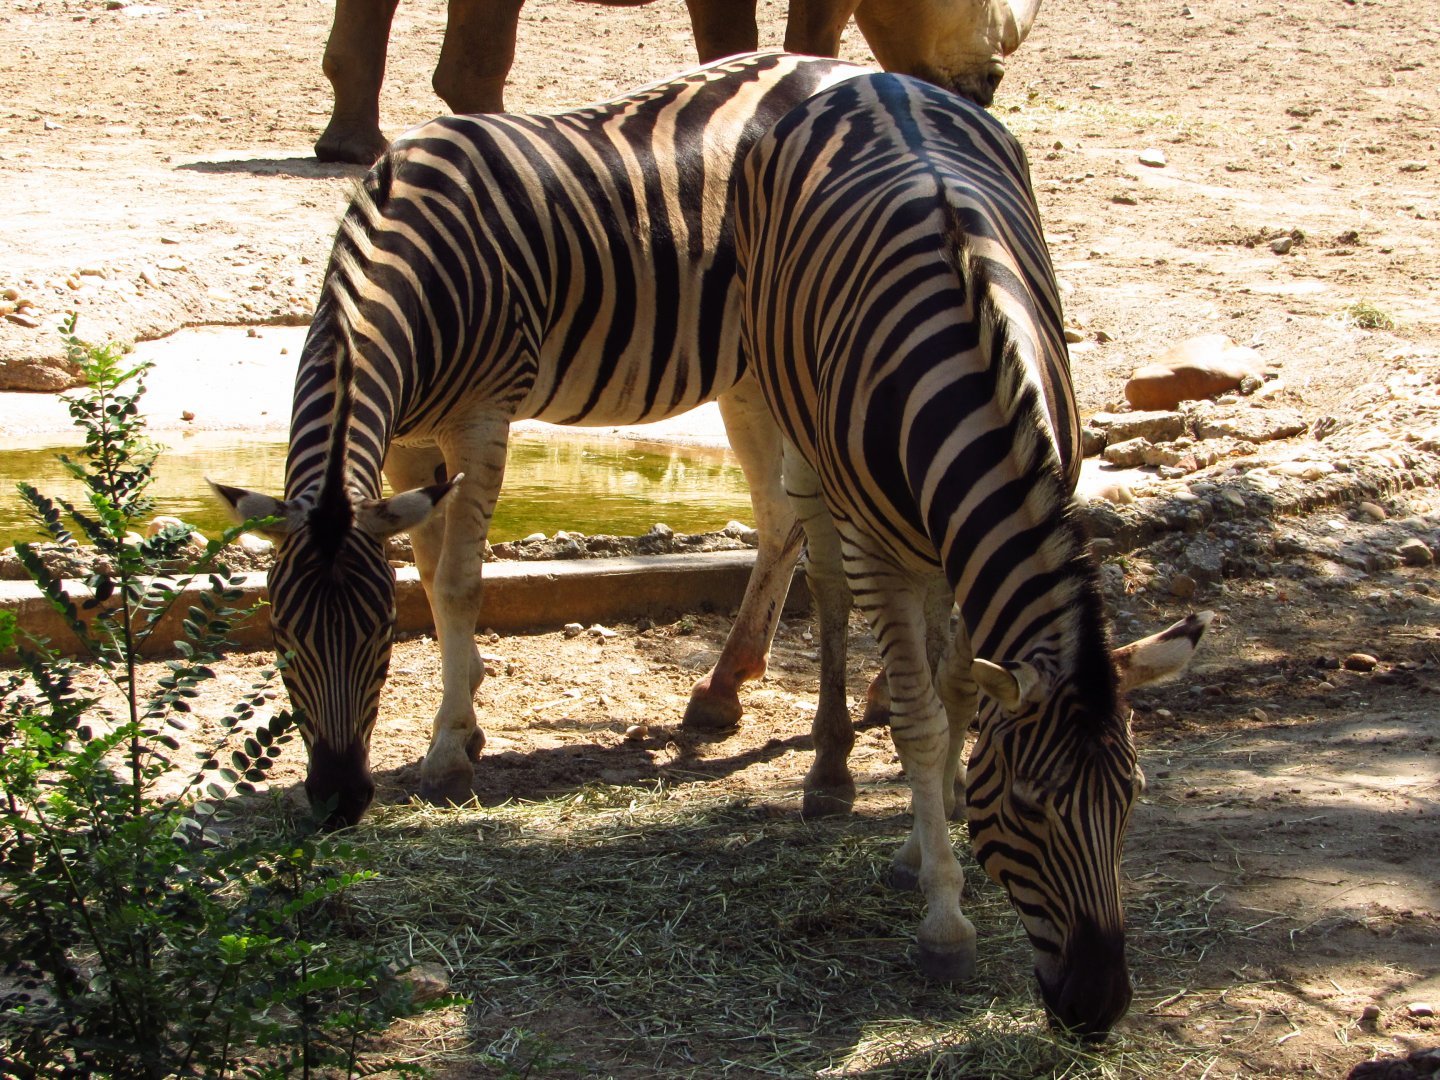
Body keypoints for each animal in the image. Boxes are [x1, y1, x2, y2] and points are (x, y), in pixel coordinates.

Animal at [209, 52, 890, 829]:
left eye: (379, 634)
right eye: (281, 635)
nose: (338, 801)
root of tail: (848, 68)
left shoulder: (481, 419)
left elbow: (458, 582)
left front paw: (449, 749)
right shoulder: (408, 445)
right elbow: (428, 571)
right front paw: (469, 707)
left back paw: (875, 695)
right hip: (748, 374)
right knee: (780, 523)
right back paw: (724, 688)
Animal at [731, 72, 1211, 1035]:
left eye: (1134, 796)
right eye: (1028, 807)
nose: (1098, 1009)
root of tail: (873, 78)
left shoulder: (985, 533)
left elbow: (957, 687)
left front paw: (932, 831)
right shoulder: (879, 547)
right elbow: (918, 716)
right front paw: (944, 919)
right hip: (794, 424)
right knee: (821, 576)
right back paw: (830, 768)